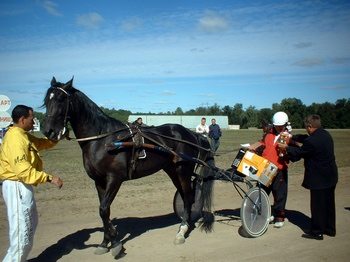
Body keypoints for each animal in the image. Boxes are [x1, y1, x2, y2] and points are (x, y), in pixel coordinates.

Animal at [42, 77, 215, 256]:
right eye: (46, 100)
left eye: (61, 99)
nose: (48, 130)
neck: (104, 140)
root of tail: (191, 133)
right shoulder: (99, 181)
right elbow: (104, 212)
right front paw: (105, 242)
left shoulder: (115, 178)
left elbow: (104, 209)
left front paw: (115, 241)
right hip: (173, 170)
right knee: (185, 194)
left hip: (183, 170)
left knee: (188, 195)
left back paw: (182, 231)